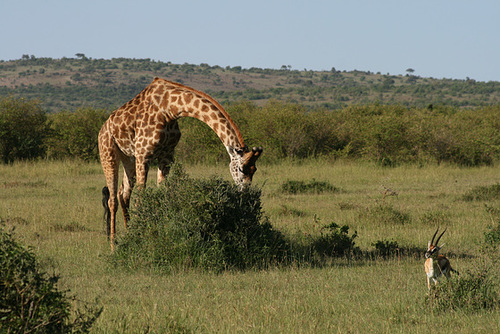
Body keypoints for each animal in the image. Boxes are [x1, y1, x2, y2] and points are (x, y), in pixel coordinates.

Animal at [96, 77, 262, 249]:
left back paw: (128, 236)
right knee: (112, 200)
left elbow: (161, 196)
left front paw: (157, 234)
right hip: (108, 152)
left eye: (254, 170)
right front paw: (142, 239)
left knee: (123, 194)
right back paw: (113, 246)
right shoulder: (143, 154)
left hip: (128, 157)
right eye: (241, 169)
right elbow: (141, 199)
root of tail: (103, 127)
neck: (170, 108)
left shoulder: (167, 155)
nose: (246, 193)